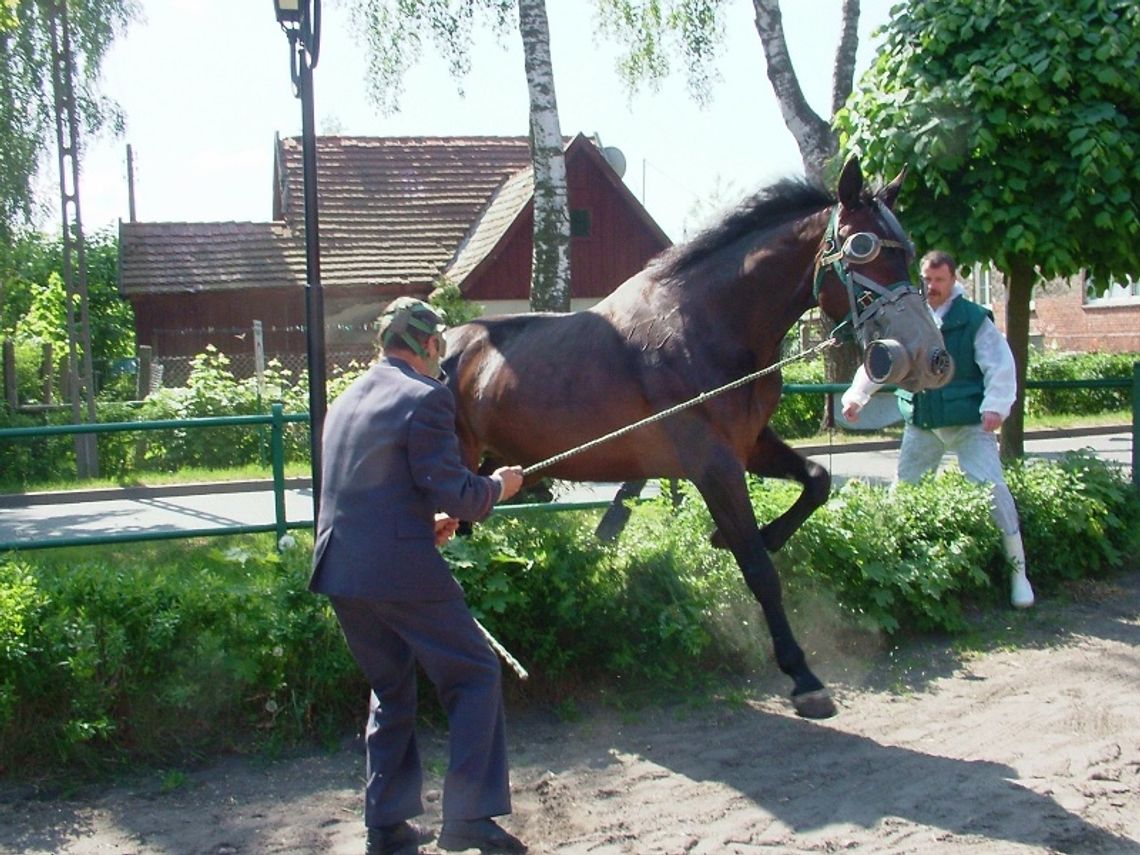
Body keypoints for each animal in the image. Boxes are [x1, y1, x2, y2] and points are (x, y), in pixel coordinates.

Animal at [444, 157, 953, 720]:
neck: (706, 329)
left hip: (486, 474)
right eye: (864, 246)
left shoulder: (750, 445)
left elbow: (817, 480)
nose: (931, 358)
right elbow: (759, 569)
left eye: (907, 251)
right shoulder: (714, 465)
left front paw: (749, 535)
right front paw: (802, 675)